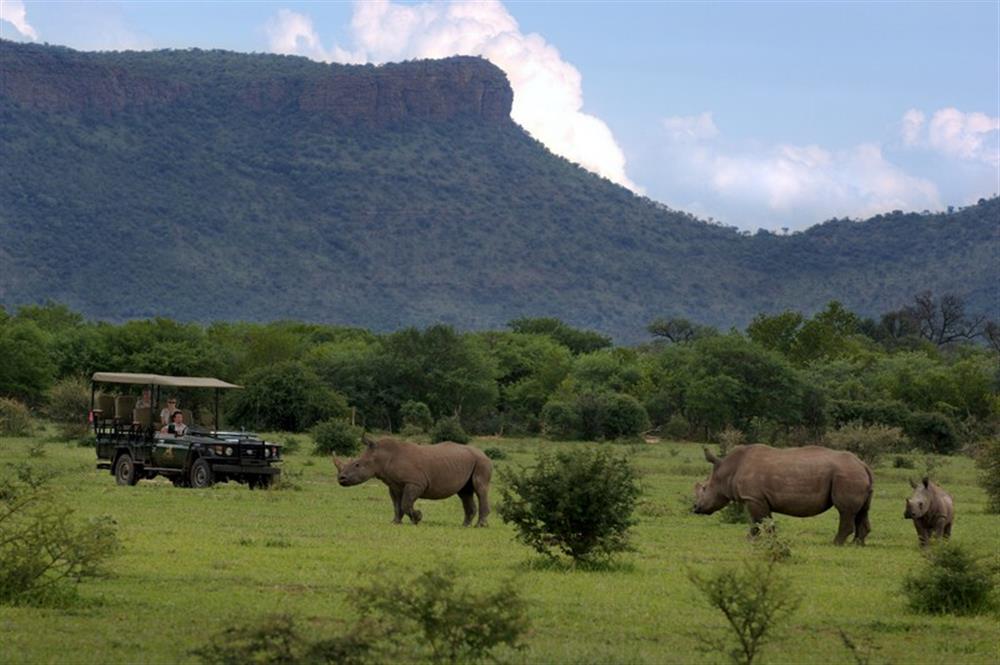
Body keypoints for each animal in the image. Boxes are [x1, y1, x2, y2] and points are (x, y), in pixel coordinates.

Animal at [336, 434, 492, 528]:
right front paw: (395, 522)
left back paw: (480, 525)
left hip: (481, 462)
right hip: (469, 463)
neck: (382, 456)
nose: (341, 479)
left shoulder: (415, 483)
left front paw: (417, 518)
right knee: (465, 492)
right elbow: (397, 504)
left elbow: (406, 503)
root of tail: (484, 453)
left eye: (357, 465)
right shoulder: (394, 485)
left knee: (480, 489)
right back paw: (464, 525)